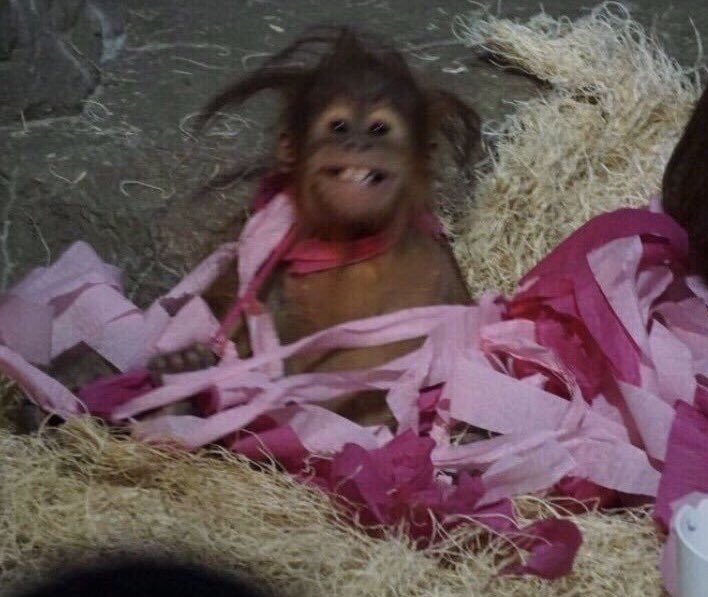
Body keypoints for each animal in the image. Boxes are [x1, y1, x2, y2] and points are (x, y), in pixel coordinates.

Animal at [147, 27, 481, 429]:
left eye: (379, 129)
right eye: (339, 126)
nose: (356, 143)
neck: (349, 240)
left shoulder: (435, 262)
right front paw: (187, 365)